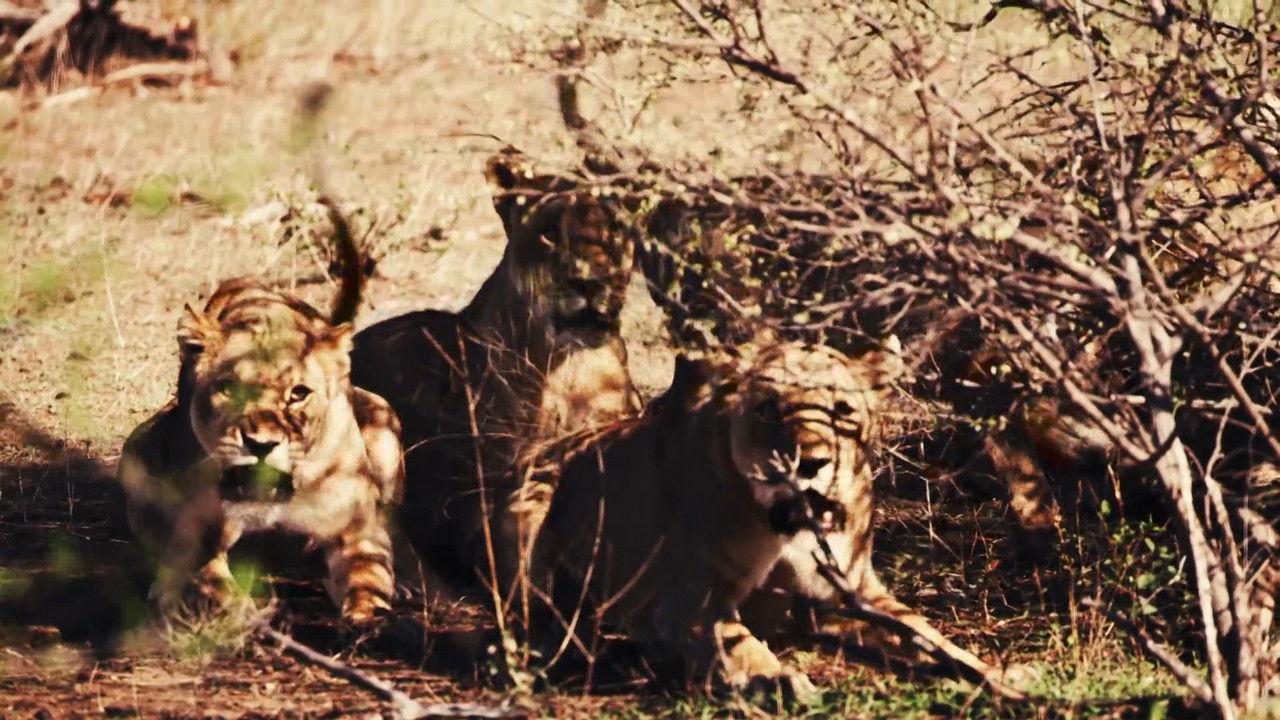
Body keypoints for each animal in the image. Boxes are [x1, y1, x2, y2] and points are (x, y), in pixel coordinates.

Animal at [117, 200, 404, 625]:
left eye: (298, 393)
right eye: (229, 389)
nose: (261, 445)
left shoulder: (357, 532)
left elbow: (367, 576)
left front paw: (367, 618)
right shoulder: (199, 537)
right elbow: (209, 580)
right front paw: (237, 611)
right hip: (140, 443)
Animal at [350, 148, 639, 599]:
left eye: (612, 230)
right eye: (549, 232)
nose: (589, 281)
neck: (572, 365)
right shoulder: (475, 503)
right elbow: (517, 545)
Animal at [527, 341, 903, 698]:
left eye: (843, 411)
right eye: (767, 410)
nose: (810, 463)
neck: (784, 526)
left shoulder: (852, 592)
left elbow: (909, 626)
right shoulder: (689, 602)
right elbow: (740, 646)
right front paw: (780, 680)